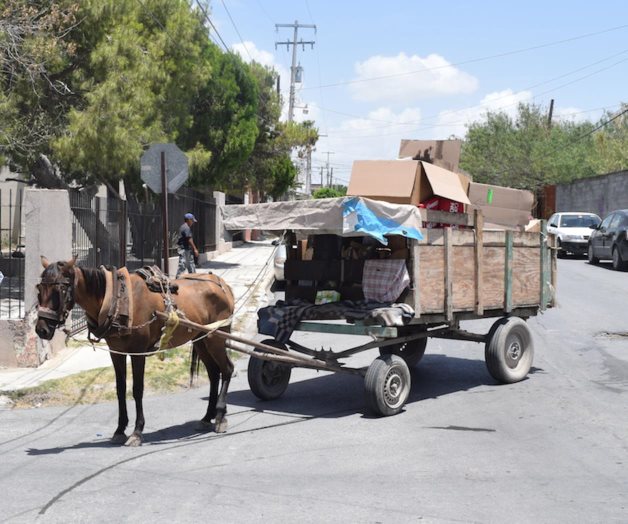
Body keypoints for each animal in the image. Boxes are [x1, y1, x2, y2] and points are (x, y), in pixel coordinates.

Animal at [35, 256, 236, 444]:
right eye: (39, 289)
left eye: (59, 290)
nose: (41, 330)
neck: (116, 300)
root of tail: (222, 284)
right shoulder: (116, 352)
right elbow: (120, 388)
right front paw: (119, 429)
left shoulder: (138, 352)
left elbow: (137, 389)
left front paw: (137, 431)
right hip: (200, 340)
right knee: (213, 373)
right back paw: (207, 417)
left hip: (216, 338)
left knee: (227, 369)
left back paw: (220, 416)